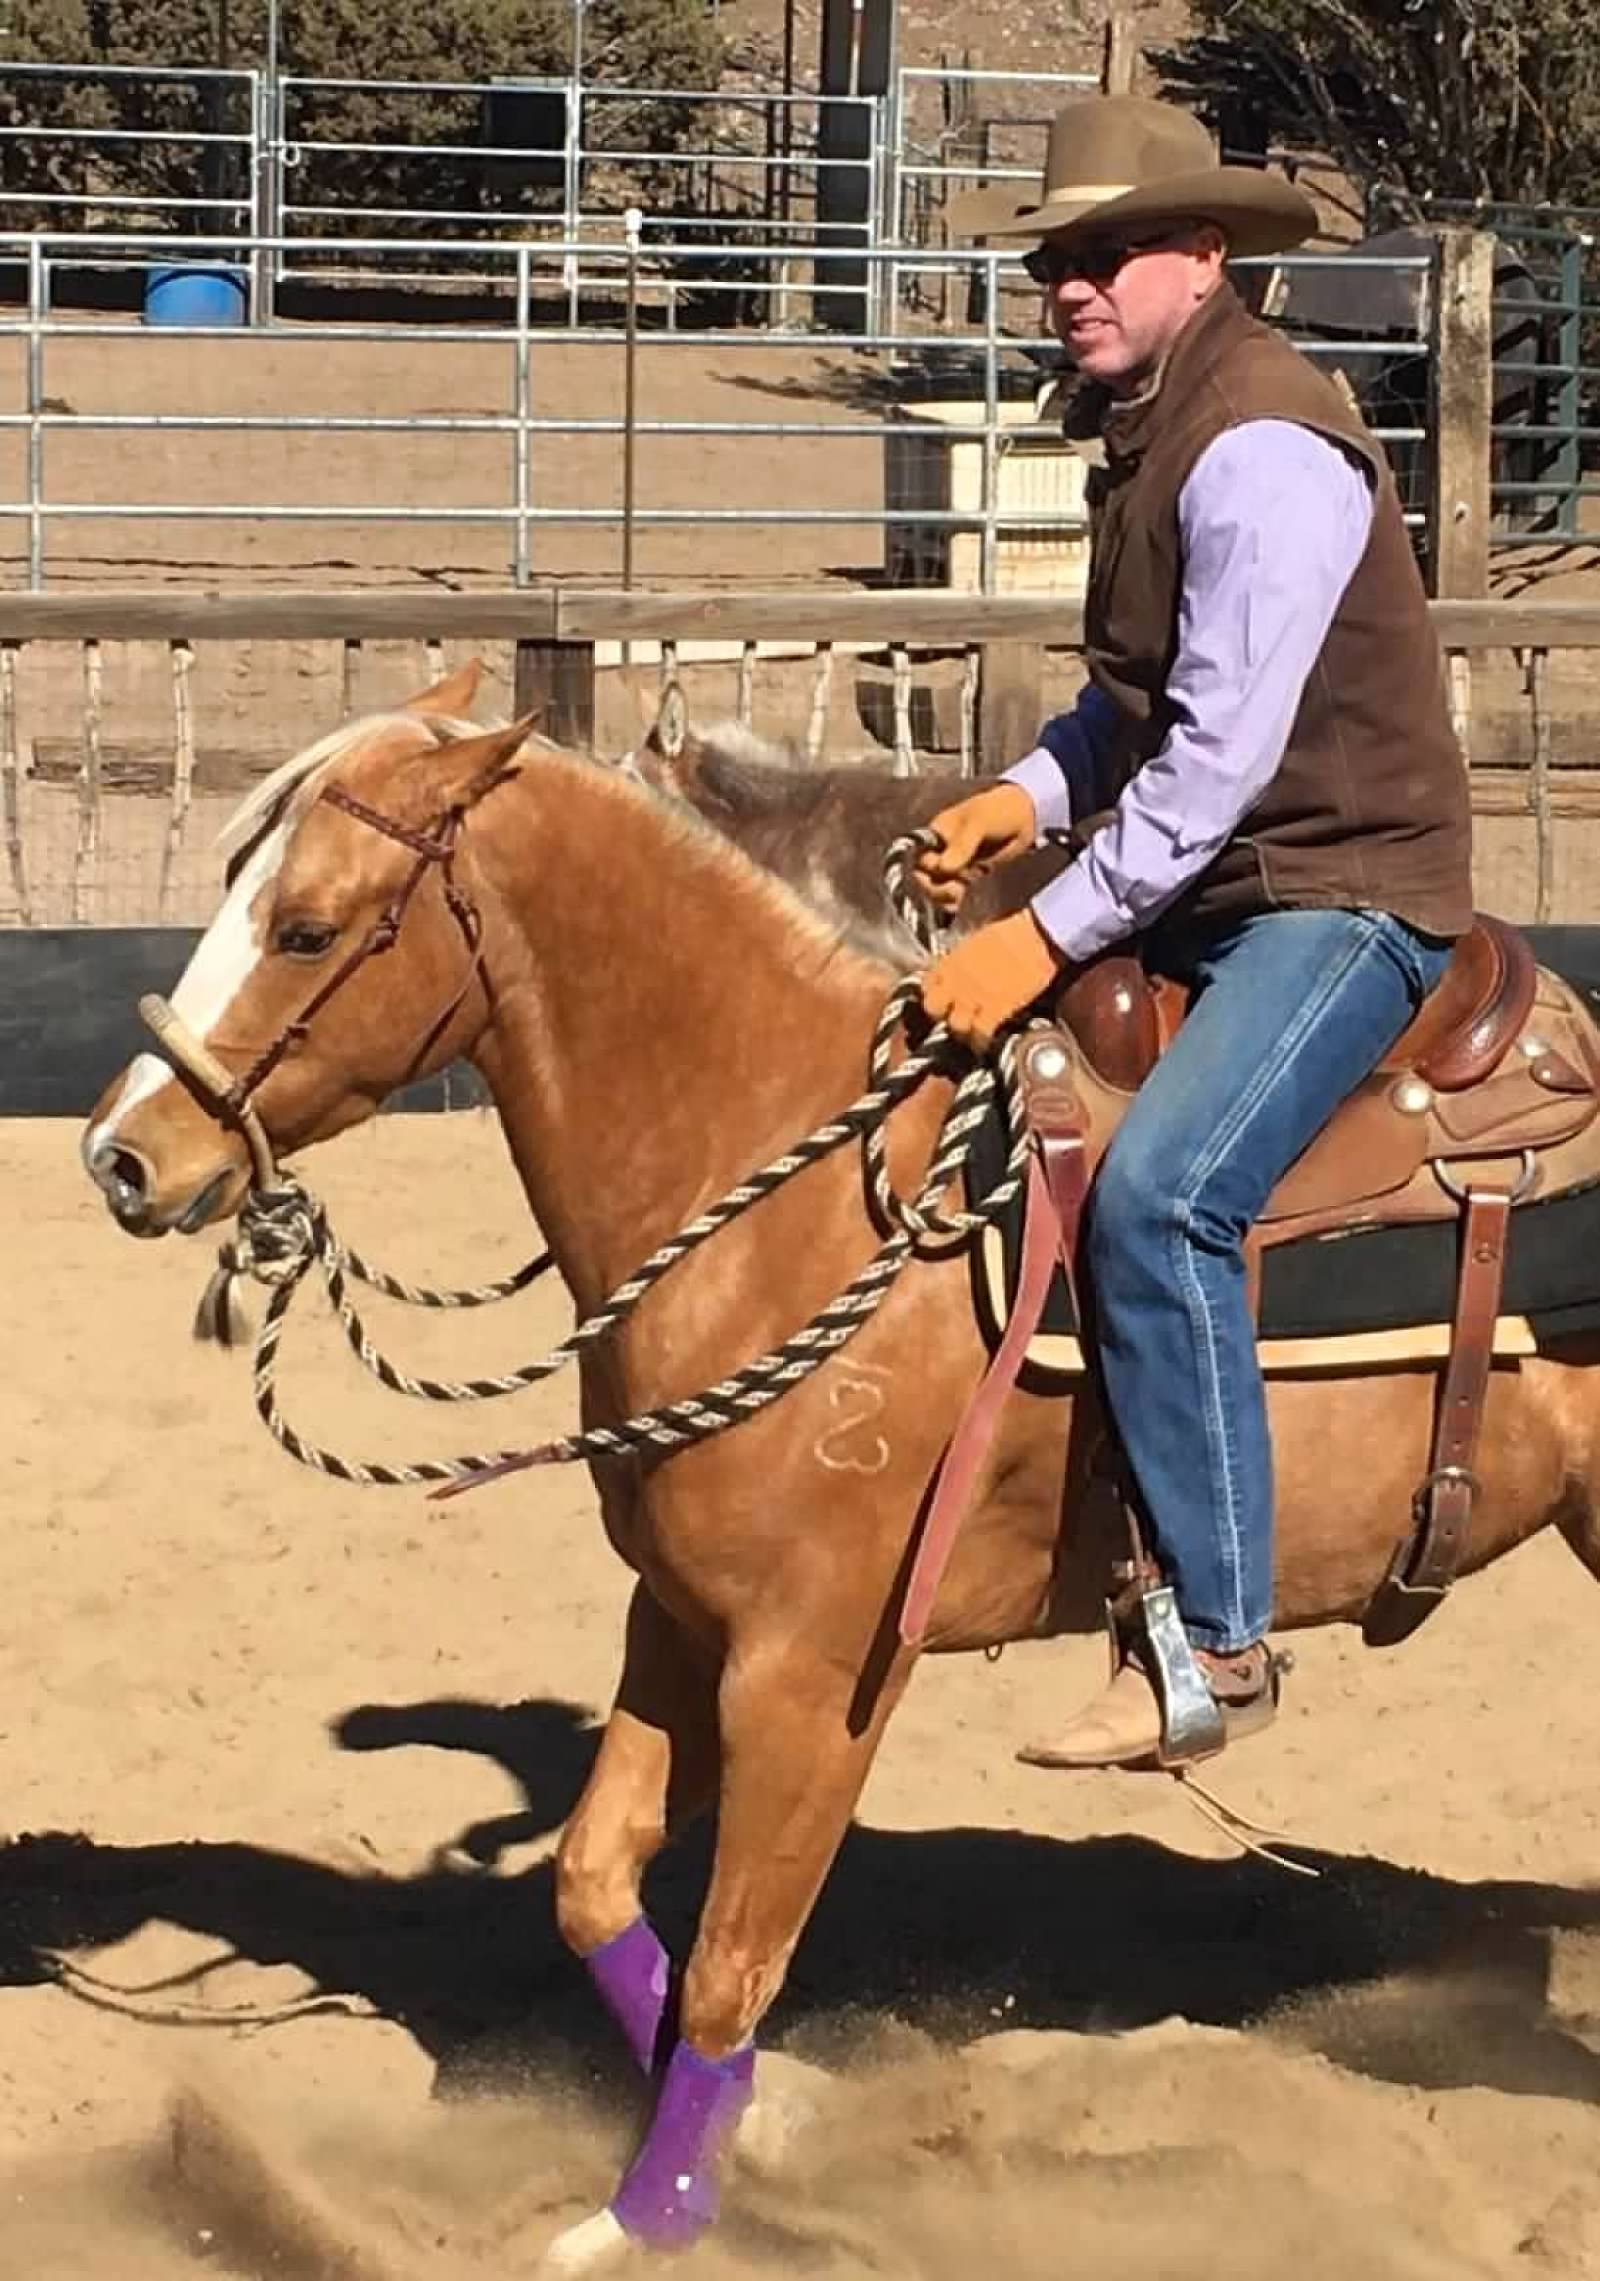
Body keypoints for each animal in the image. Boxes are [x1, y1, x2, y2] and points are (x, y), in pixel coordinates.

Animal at [81, 675, 1597, 2262]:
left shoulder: (815, 1671)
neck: (782, 1191)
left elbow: (737, 1957)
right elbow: (593, 1878)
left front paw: (657, 2217)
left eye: (308, 927)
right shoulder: (683, 1622)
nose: (121, 1154)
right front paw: (767, 2123)